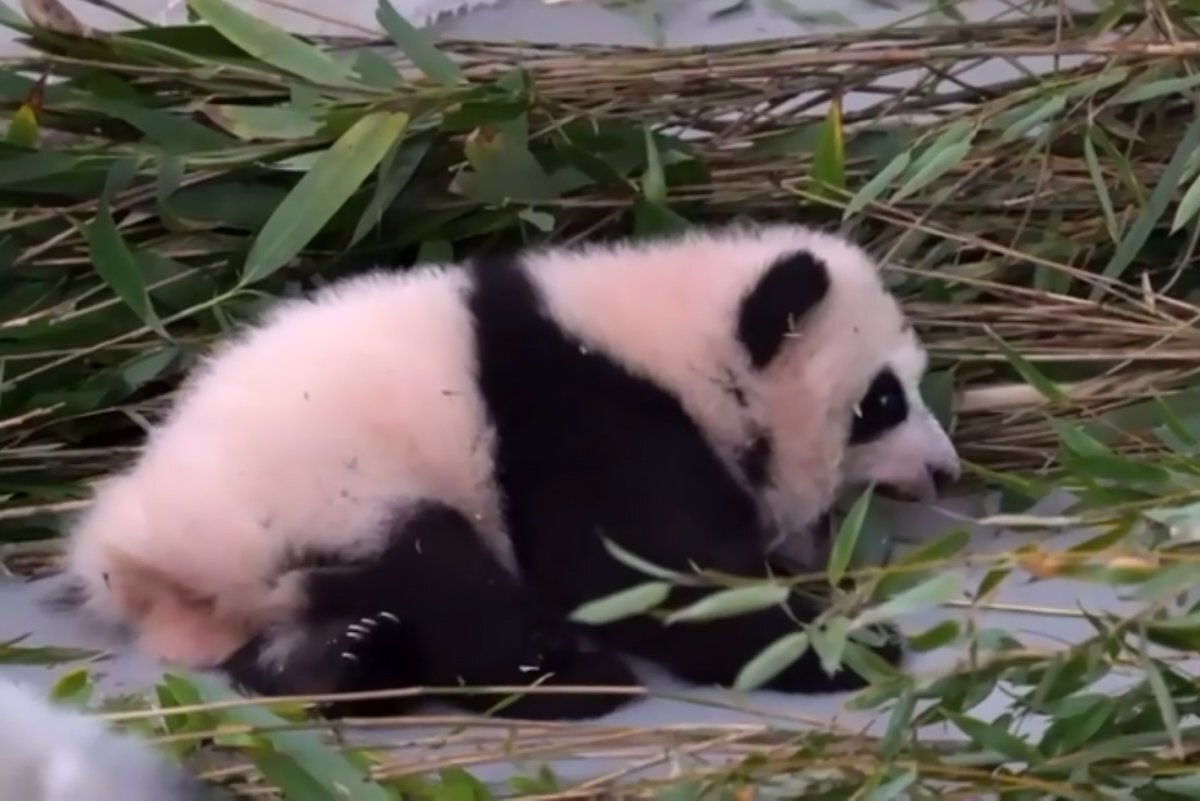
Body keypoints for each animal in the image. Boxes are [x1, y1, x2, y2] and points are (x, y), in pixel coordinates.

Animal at [60, 221, 955, 724]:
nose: (946, 470)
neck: (673, 337)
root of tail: (125, 550)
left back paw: (345, 660)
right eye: (883, 399)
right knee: (447, 583)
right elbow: (641, 569)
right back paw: (569, 679)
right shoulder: (578, 414)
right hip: (321, 497)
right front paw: (838, 644)